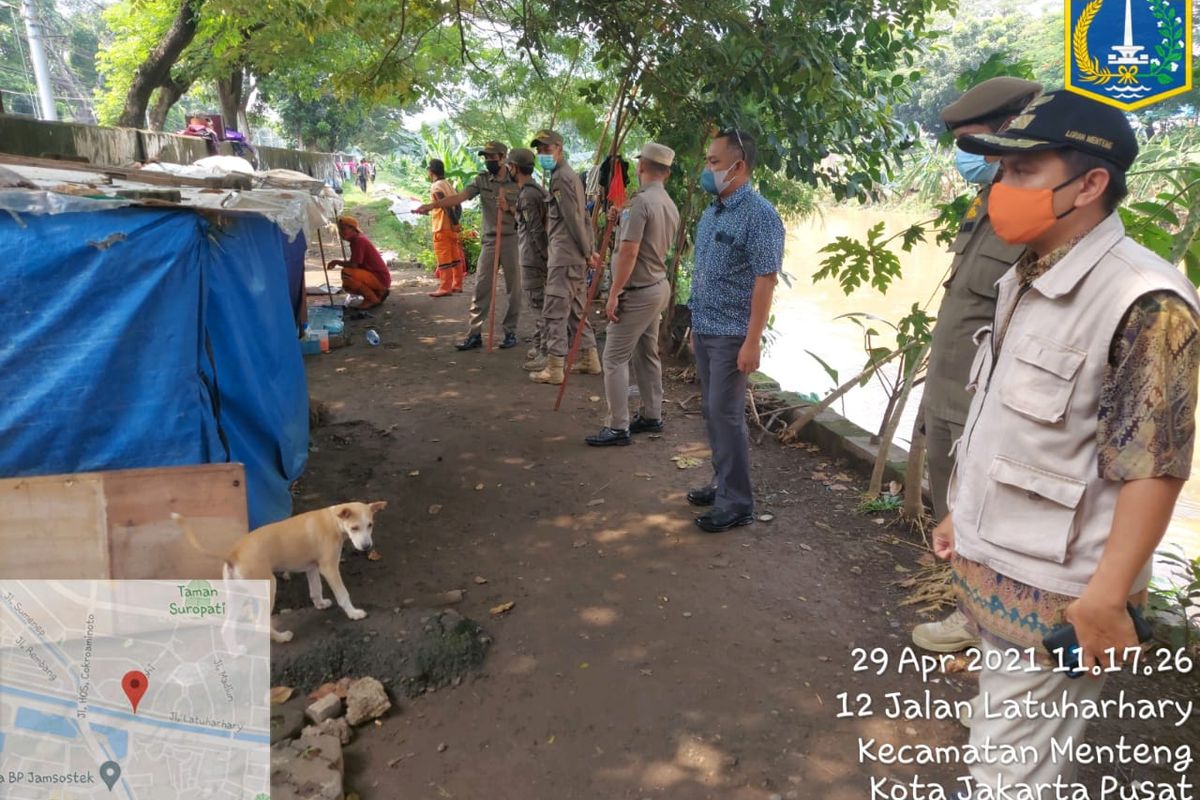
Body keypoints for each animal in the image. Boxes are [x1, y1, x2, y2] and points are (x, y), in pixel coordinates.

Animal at [174, 501, 386, 642]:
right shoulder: (329, 567)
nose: (367, 547)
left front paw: (320, 604)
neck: (333, 520)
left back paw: (236, 652)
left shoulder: (312, 567)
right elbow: (343, 594)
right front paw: (354, 613)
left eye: (370, 525)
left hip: (238, 594)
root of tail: (233, 553)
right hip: (269, 587)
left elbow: (315, 590)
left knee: (227, 628)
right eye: (355, 528)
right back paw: (282, 637)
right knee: (261, 623)